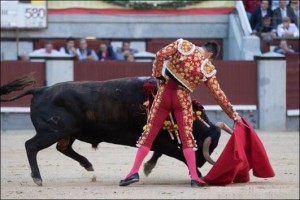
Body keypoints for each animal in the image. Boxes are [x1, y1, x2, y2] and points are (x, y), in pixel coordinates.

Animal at [0, 75, 232, 186]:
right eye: (210, 147)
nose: (201, 162)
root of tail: (39, 89)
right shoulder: (156, 137)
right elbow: (176, 152)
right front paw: (197, 174)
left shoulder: (160, 137)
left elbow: (163, 152)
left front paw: (148, 168)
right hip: (52, 131)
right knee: (31, 146)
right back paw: (37, 178)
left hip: (67, 133)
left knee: (62, 148)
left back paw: (88, 165)